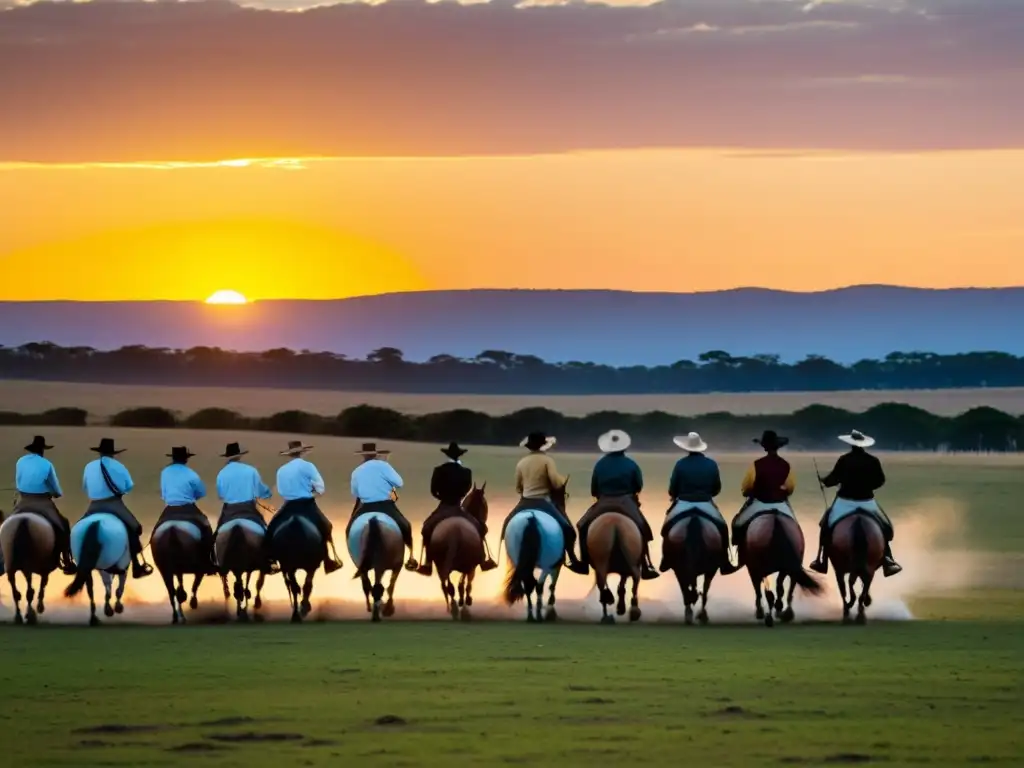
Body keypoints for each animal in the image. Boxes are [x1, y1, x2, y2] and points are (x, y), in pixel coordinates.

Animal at [423, 483, 487, 622]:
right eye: (485, 504)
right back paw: (459, 608)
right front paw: (466, 601)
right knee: (452, 585)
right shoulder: (471, 566)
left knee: (447, 585)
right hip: (463, 563)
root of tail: (455, 532)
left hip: (441, 563)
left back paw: (454, 608)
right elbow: (466, 584)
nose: (483, 524)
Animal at [501, 481, 573, 626]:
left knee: (529, 584)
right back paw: (539, 611)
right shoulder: (556, 564)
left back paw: (531, 612)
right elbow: (552, 584)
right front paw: (550, 605)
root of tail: (531, 518)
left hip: (519, 561)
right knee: (539, 585)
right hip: (547, 563)